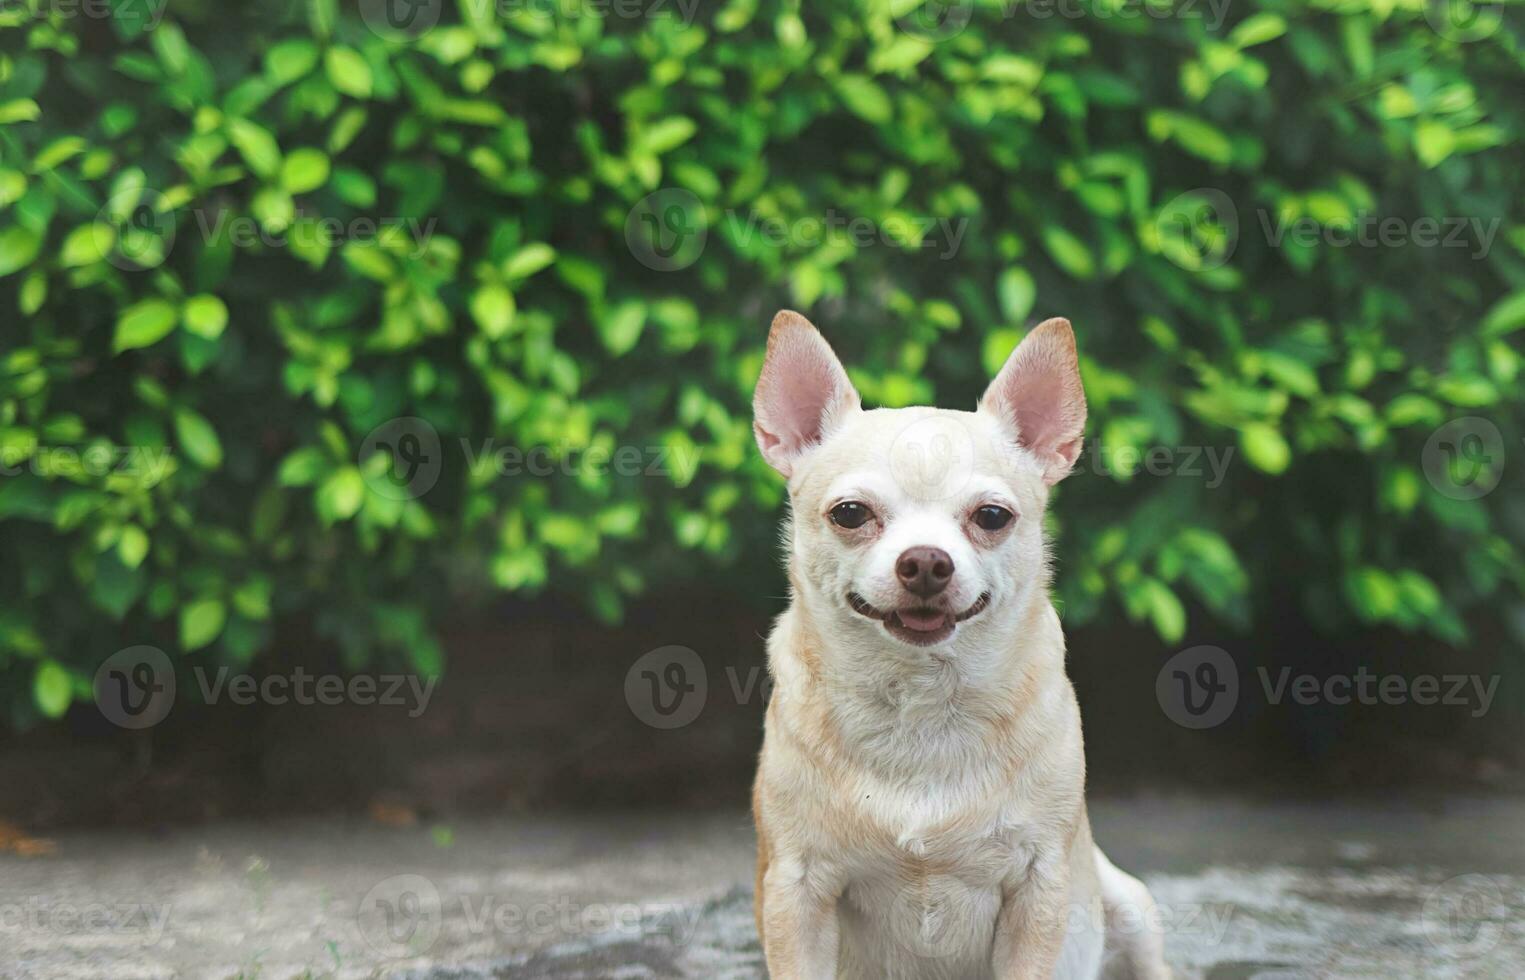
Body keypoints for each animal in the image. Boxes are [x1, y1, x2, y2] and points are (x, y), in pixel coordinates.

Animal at [747, 313, 1165, 980]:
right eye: (850, 513)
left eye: (992, 517)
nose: (925, 561)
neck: (922, 700)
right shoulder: (796, 891)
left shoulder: (1039, 886)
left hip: (1128, 904)